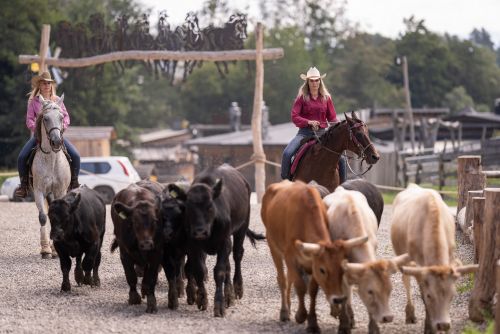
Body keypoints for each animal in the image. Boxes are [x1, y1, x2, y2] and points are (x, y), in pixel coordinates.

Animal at [110, 180, 163, 314]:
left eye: (155, 221)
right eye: (134, 222)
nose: (146, 243)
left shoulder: (156, 254)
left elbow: (150, 279)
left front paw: (151, 303)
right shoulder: (124, 254)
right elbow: (131, 276)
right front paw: (134, 297)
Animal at [182, 166, 264, 318]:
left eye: (210, 206)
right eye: (189, 208)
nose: (200, 232)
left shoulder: (224, 243)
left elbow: (219, 271)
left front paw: (219, 304)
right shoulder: (193, 245)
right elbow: (199, 270)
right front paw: (202, 298)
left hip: (242, 228)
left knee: (237, 255)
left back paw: (237, 289)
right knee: (227, 266)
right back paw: (229, 294)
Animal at [262, 181, 368, 332]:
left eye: (343, 269)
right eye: (323, 270)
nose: (338, 299)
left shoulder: (312, 263)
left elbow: (312, 291)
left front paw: (312, 323)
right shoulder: (291, 258)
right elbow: (300, 286)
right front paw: (301, 315)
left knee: (289, 279)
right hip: (273, 246)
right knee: (282, 279)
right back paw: (284, 311)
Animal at [390, 184, 476, 332]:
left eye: (452, 296)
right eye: (429, 296)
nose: (444, 325)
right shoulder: (419, 267)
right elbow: (422, 294)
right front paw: (429, 326)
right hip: (402, 255)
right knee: (406, 280)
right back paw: (410, 314)